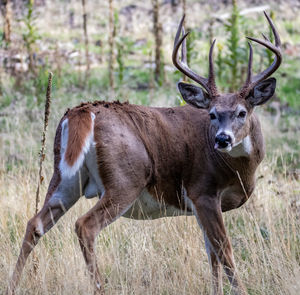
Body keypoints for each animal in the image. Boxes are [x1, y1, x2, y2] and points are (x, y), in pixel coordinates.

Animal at [8, 12, 282, 295]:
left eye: (242, 112)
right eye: (212, 114)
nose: (222, 139)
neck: (238, 170)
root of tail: (82, 112)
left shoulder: (199, 204)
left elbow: (212, 255)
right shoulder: (202, 190)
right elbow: (225, 251)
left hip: (64, 177)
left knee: (35, 224)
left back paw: (12, 284)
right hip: (125, 178)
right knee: (84, 226)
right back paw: (99, 287)